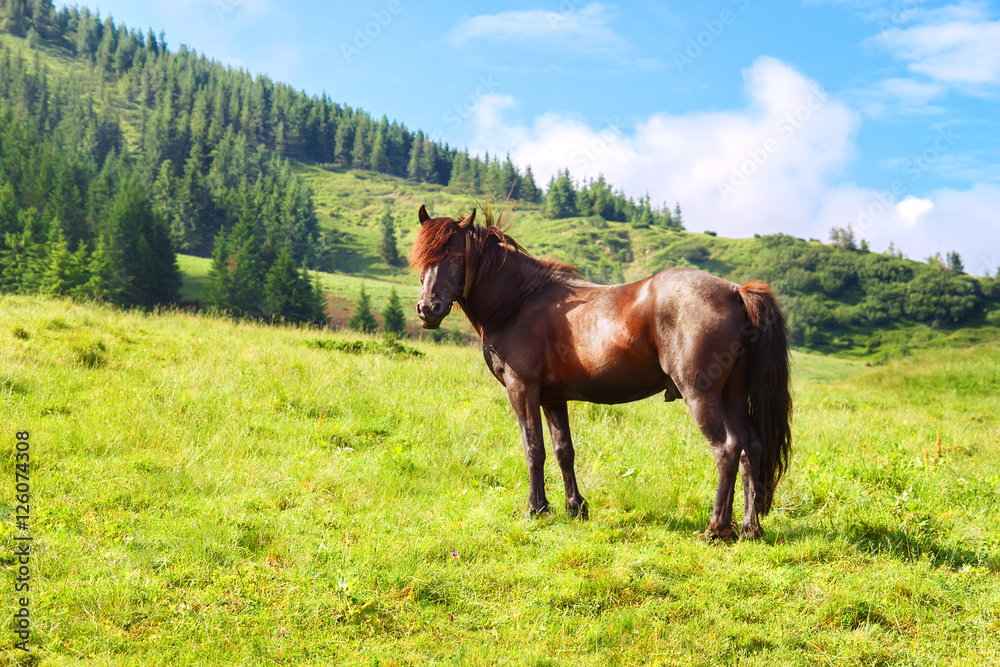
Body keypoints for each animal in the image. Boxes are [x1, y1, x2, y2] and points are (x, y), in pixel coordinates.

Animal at [409, 204, 791, 540]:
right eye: (422, 260)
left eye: (456, 258)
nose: (428, 309)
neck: (519, 301)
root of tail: (736, 291)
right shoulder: (553, 398)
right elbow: (563, 450)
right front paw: (574, 507)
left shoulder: (522, 389)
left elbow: (534, 449)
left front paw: (537, 509)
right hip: (733, 398)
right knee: (751, 449)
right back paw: (750, 528)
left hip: (702, 396)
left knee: (727, 449)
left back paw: (716, 528)